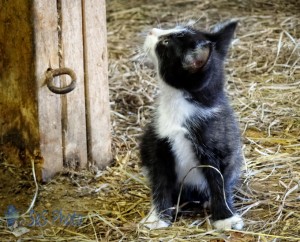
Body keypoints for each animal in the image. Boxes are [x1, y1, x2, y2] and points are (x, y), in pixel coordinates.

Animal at [140, 19, 244, 230]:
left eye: (165, 43)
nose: (152, 30)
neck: (180, 104)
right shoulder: (159, 144)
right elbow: (160, 180)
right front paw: (158, 217)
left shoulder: (219, 145)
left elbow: (219, 180)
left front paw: (225, 217)